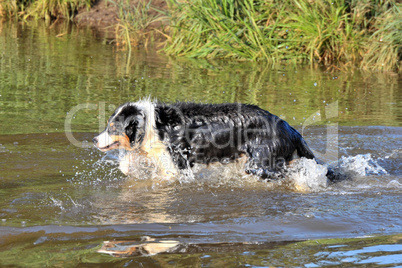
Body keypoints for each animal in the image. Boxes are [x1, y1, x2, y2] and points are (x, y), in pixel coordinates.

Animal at [92, 99, 318, 180]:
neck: (152, 125)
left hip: (261, 161)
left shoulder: (175, 163)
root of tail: (290, 129)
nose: (94, 139)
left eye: (112, 127)